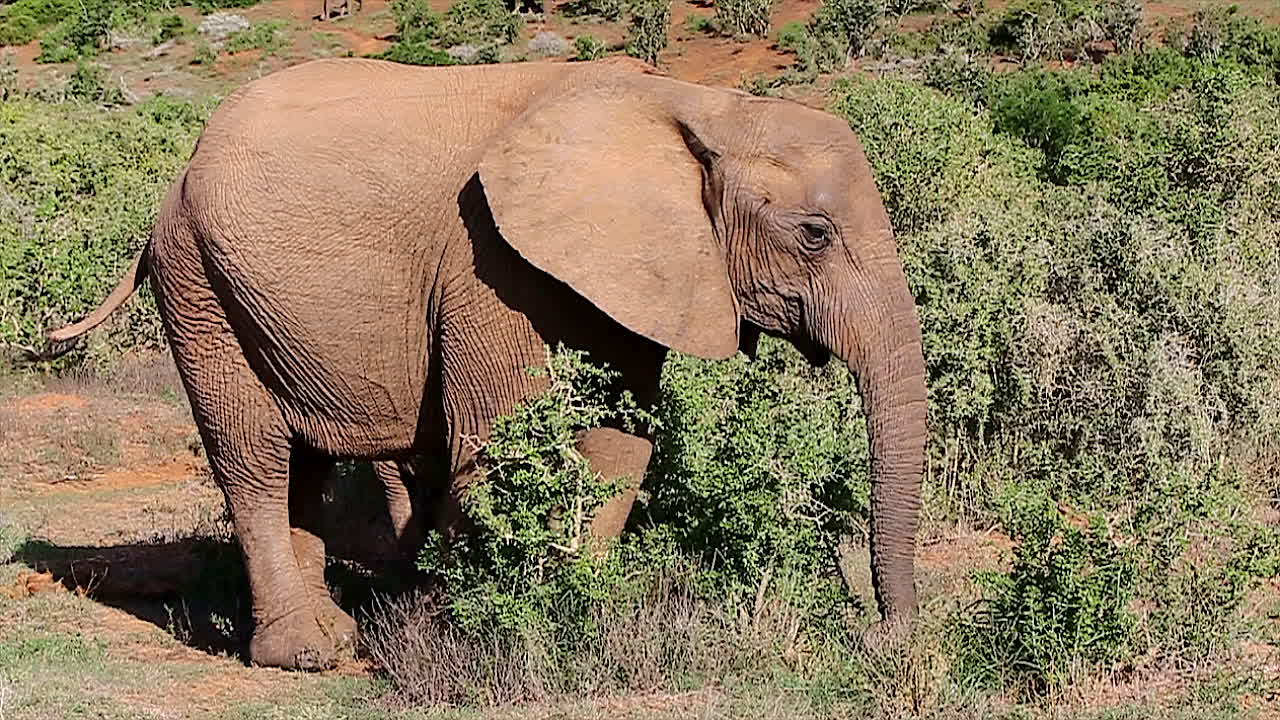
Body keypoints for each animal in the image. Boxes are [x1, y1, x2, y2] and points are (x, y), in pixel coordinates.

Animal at [47, 55, 927, 670]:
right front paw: (468, 639)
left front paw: (584, 617)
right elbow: (500, 442)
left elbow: (620, 446)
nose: (884, 642)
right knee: (253, 457)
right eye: (814, 235)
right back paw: (303, 656)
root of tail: (179, 173)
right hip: (197, 281)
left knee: (303, 461)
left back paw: (334, 635)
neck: (696, 103)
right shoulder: (491, 263)